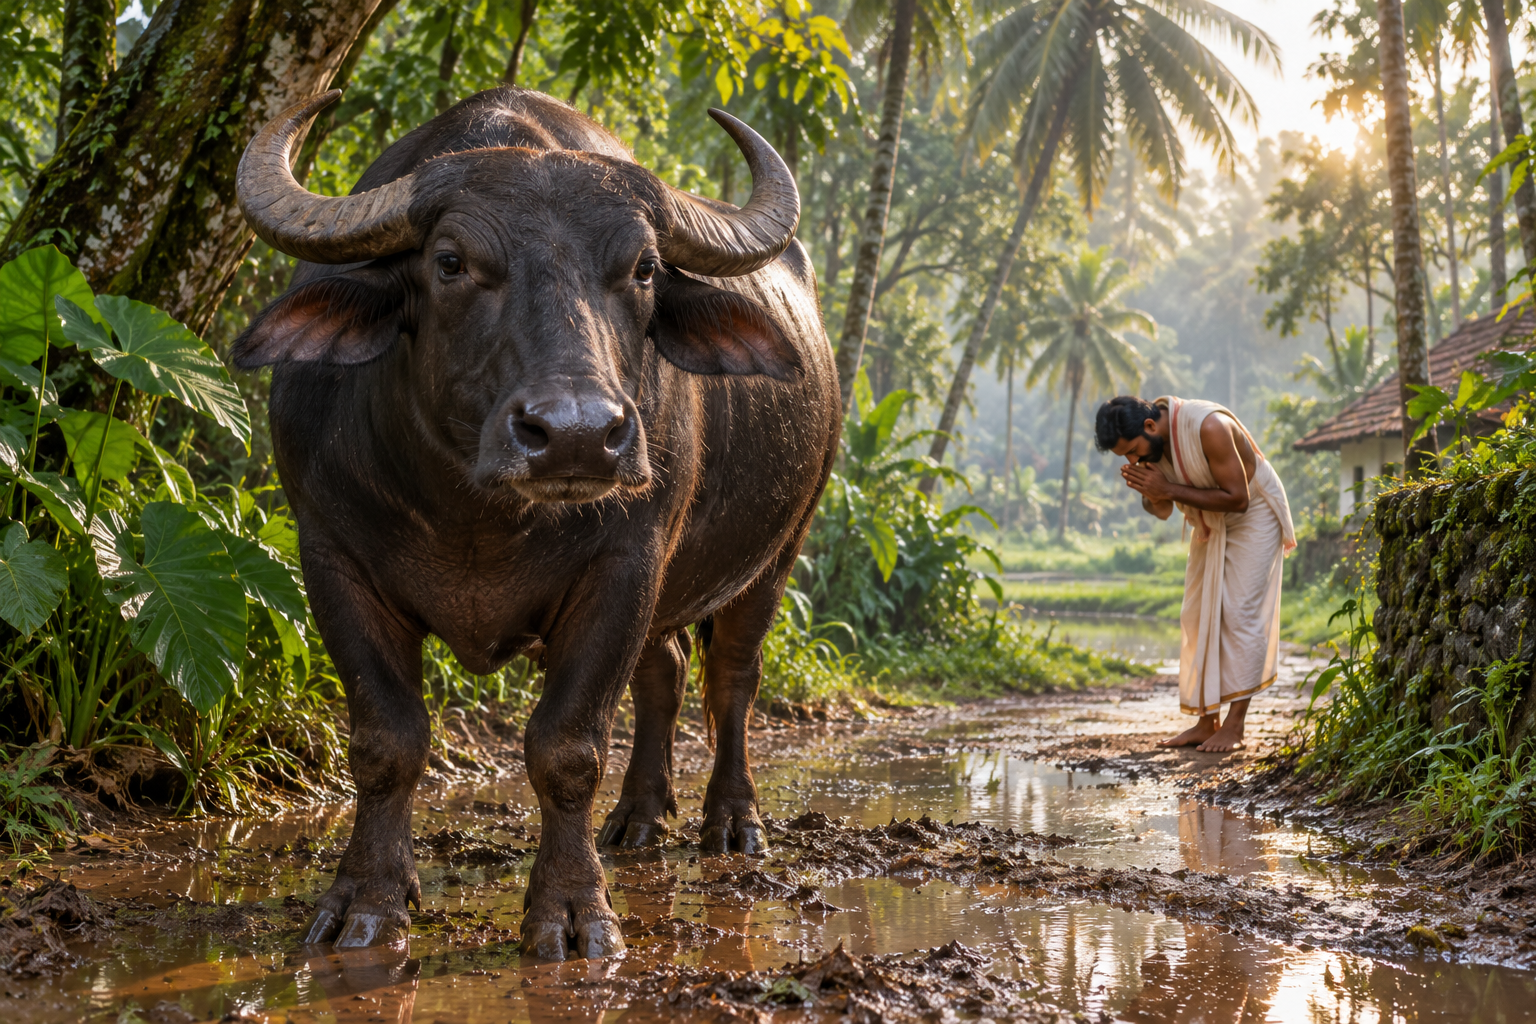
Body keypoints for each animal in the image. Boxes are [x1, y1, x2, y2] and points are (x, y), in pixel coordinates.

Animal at [232, 87, 839, 960]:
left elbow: (566, 748)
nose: (578, 434)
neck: (474, 513)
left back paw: (732, 821)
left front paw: (575, 913)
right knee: (664, 673)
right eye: (450, 263)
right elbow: (387, 742)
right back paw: (638, 816)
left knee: (731, 677)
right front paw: (368, 903)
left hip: (778, 551)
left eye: (644, 269)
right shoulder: (332, 558)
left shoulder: (625, 563)